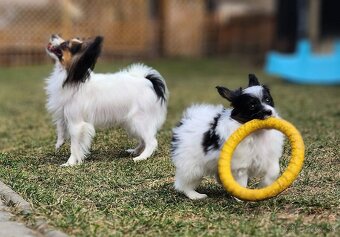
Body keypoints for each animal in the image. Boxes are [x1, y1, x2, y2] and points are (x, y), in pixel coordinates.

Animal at [45, 34, 168, 166]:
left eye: (65, 44)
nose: (53, 35)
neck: (72, 78)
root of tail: (149, 81)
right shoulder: (63, 113)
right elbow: (60, 129)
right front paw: (59, 144)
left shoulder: (76, 124)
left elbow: (74, 146)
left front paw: (70, 163)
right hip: (131, 123)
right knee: (143, 140)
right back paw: (135, 151)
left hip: (139, 121)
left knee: (151, 141)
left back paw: (142, 157)